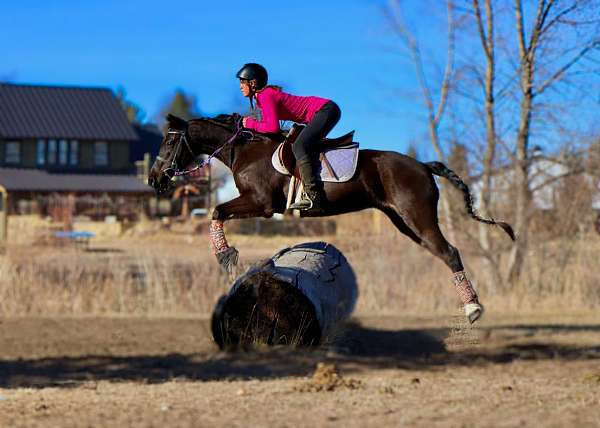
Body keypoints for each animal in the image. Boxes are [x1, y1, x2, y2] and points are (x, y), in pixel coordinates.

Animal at [148, 113, 512, 324]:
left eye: (167, 141)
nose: (154, 179)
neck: (244, 150)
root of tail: (423, 165)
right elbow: (218, 211)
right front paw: (227, 257)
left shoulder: (262, 204)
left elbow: (217, 211)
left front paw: (226, 256)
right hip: (405, 224)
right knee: (441, 252)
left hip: (417, 216)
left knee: (450, 252)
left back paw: (474, 309)